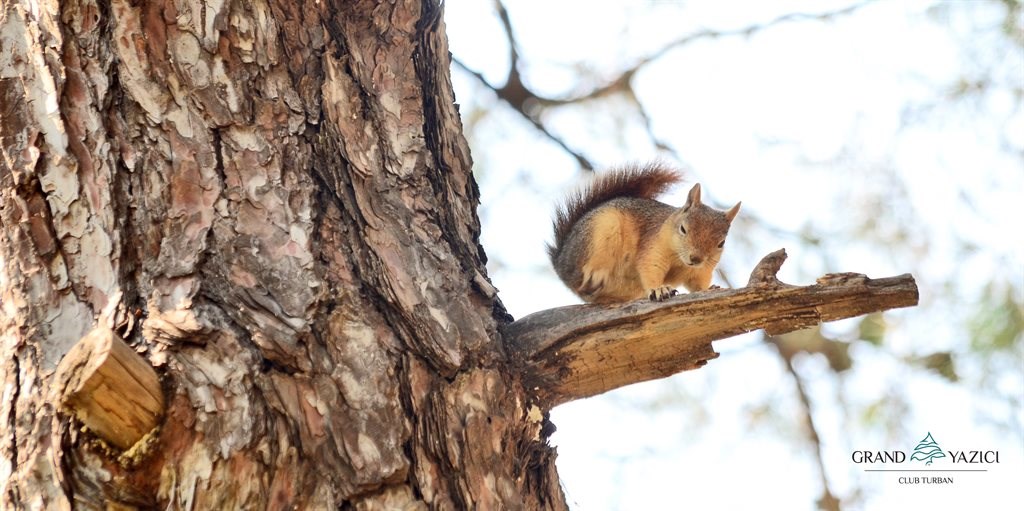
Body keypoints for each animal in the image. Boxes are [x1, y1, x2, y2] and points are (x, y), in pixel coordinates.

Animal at [548, 162, 741, 303]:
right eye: (683, 229)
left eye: (721, 243)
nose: (696, 259)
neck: (679, 260)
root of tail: (559, 262)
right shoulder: (652, 247)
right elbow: (650, 268)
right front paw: (659, 289)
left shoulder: (701, 271)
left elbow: (698, 285)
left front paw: (709, 288)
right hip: (602, 229)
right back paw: (596, 272)